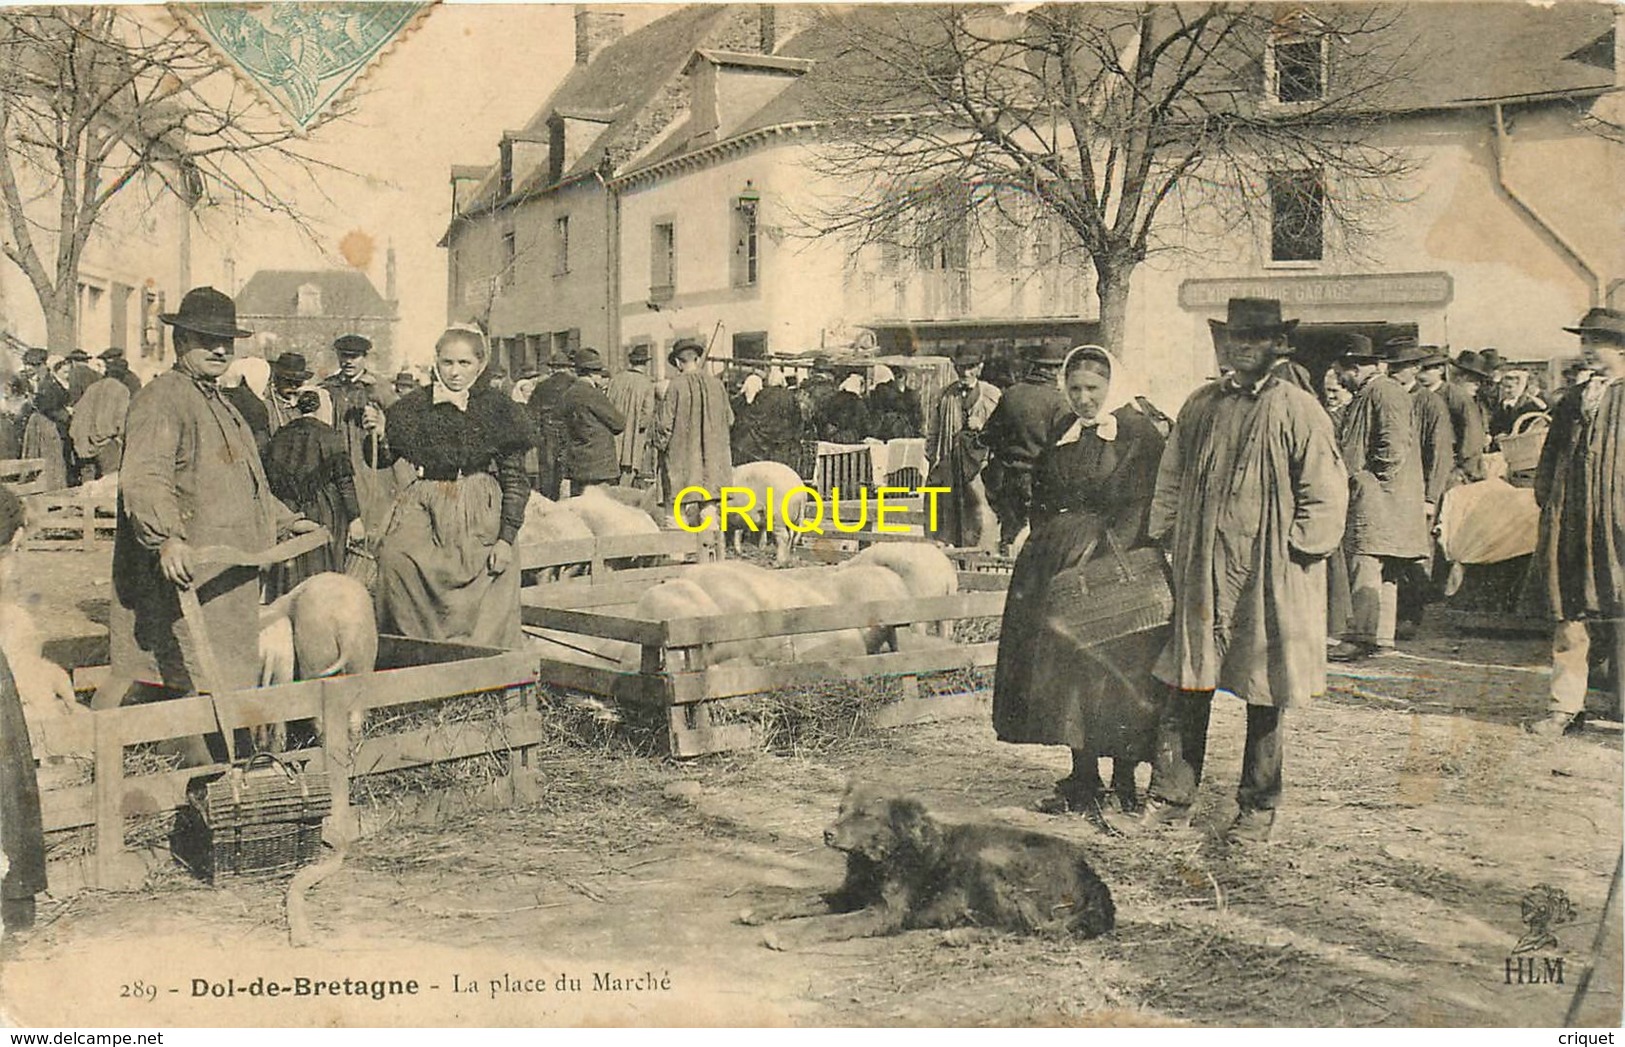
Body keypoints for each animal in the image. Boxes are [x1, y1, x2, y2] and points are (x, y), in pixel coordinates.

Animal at [741, 786, 1111, 949]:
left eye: (864, 815)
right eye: (840, 809)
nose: (827, 833)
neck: (882, 855)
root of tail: (1091, 875)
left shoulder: (882, 912)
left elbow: (826, 924)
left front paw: (785, 935)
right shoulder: (850, 894)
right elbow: (804, 899)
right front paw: (761, 911)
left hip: (992, 861)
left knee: (1028, 927)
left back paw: (960, 934)